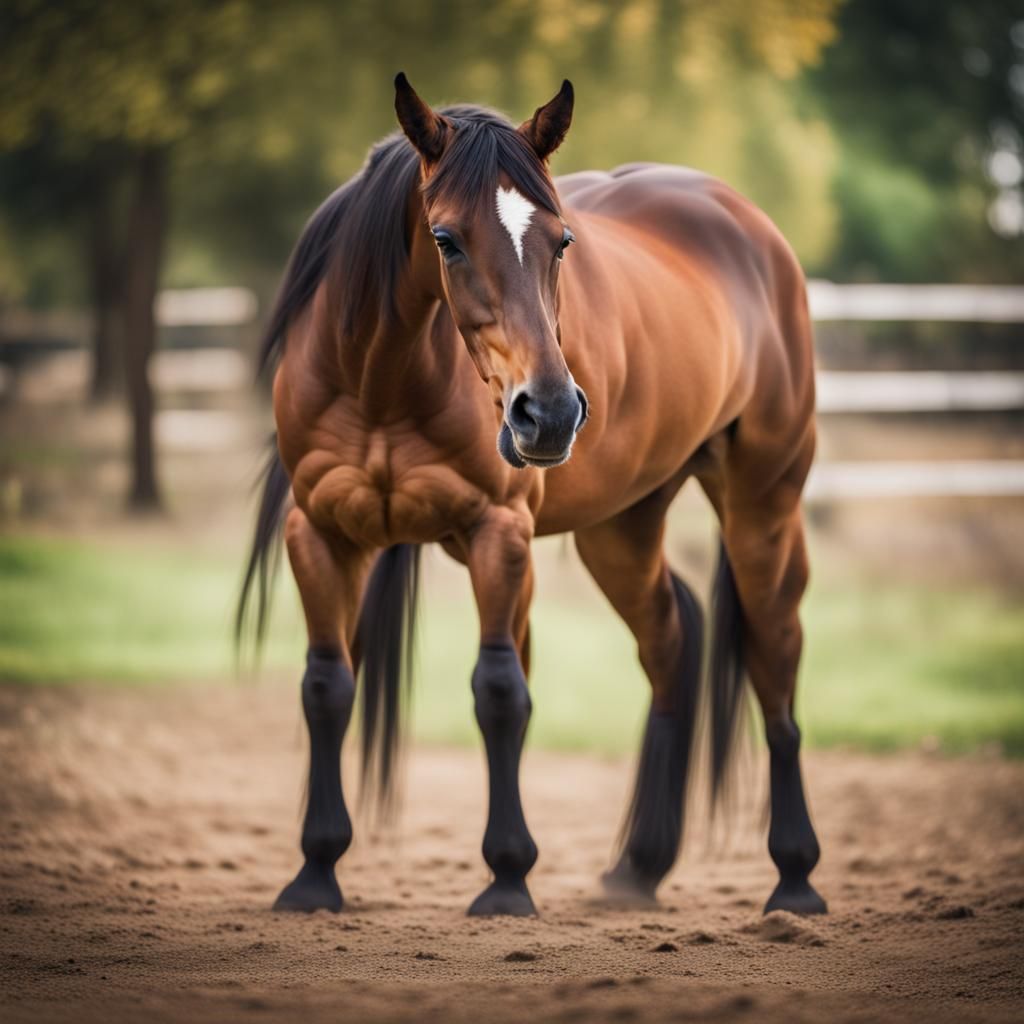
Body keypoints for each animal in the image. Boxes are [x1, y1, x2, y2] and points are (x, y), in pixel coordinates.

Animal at [238, 73, 825, 919]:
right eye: (446, 239)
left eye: (562, 241)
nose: (547, 411)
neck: (383, 382)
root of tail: (747, 224)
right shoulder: (320, 533)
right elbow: (326, 686)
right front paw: (315, 872)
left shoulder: (499, 533)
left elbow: (499, 691)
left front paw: (509, 877)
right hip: (621, 527)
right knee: (672, 639)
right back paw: (639, 868)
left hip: (762, 506)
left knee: (774, 659)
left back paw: (795, 875)